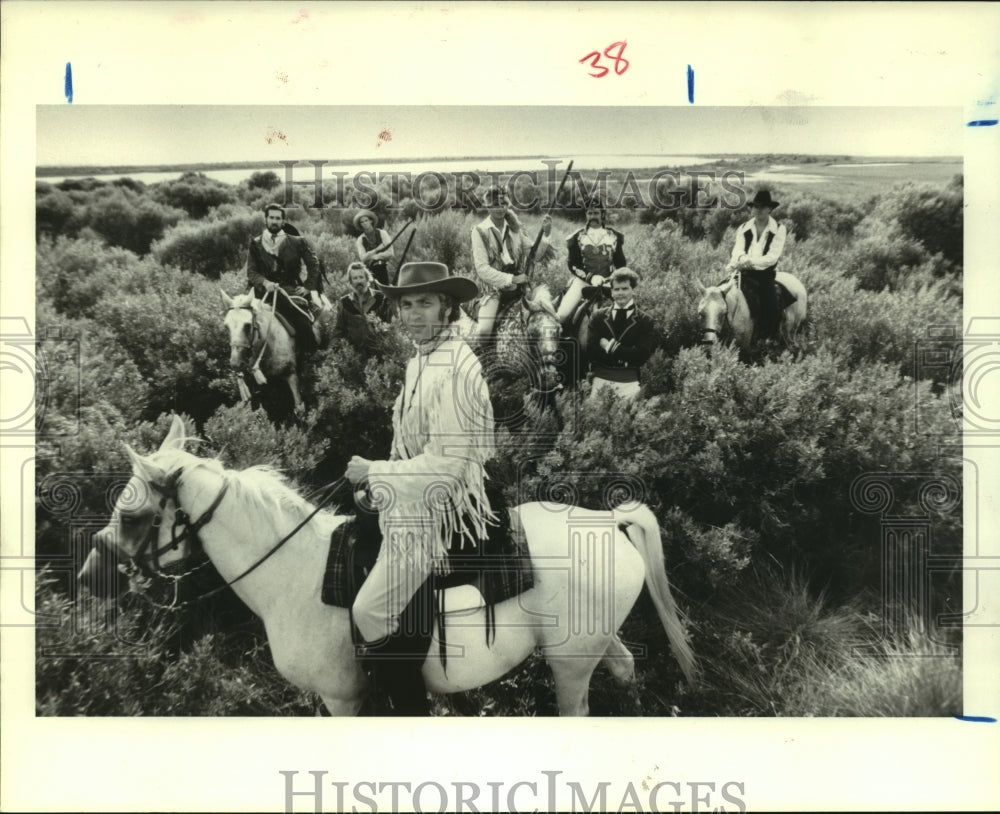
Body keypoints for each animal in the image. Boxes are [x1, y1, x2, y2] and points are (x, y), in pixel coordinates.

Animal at [80, 418, 696, 716]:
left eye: (131, 514)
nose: (88, 576)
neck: (294, 576)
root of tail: (608, 521)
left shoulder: (342, 700)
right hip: (591, 645)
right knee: (624, 669)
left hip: (569, 665)